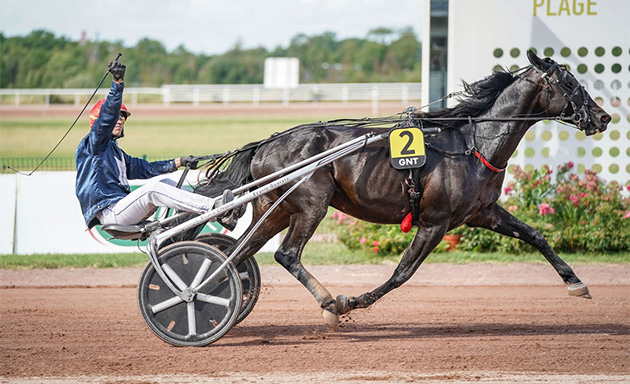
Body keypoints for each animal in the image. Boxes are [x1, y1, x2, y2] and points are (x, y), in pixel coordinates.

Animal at [196, 50, 612, 328]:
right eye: (570, 83)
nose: (604, 117)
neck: (473, 143)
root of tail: (266, 143)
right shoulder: (435, 222)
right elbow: (402, 273)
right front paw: (352, 301)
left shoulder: (483, 213)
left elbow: (535, 235)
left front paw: (576, 283)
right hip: (311, 204)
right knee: (286, 254)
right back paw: (328, 303)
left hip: (276, 207)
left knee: (238, 252)